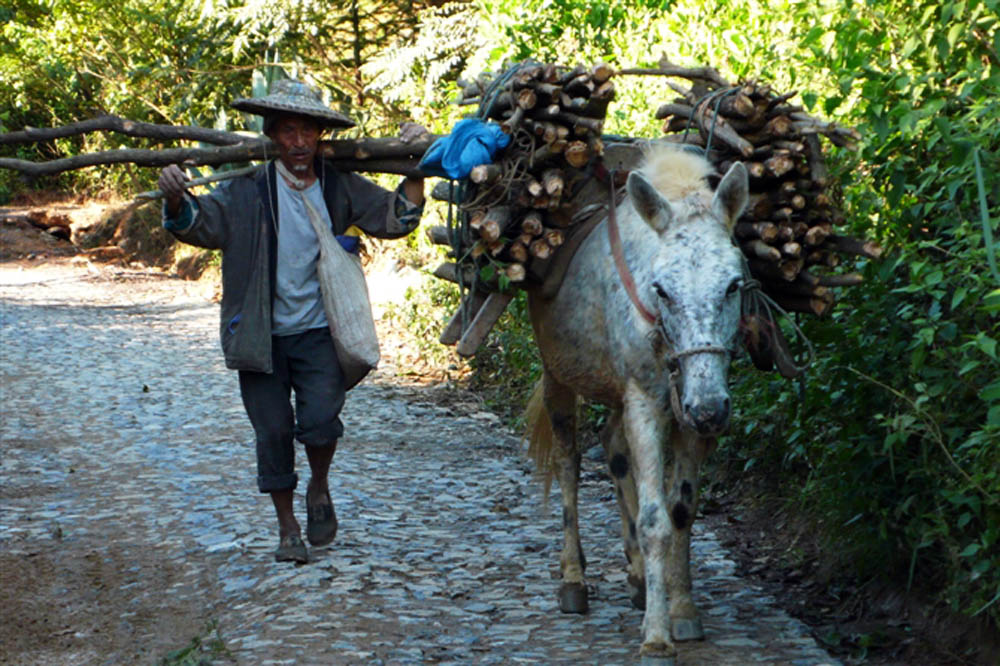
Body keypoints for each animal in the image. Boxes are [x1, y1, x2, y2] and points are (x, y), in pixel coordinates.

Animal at [524, 145, 752, 660]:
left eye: (733, 285)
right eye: (661, 288)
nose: (709, 410)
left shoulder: (690, 413)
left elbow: (682, 511)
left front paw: (681, 609)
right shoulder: (646, 404)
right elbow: (654, 520)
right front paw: (656, 634)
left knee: (613, 448)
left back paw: (636, 577)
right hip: (557, 376)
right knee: (569, 464)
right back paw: (574, 581)